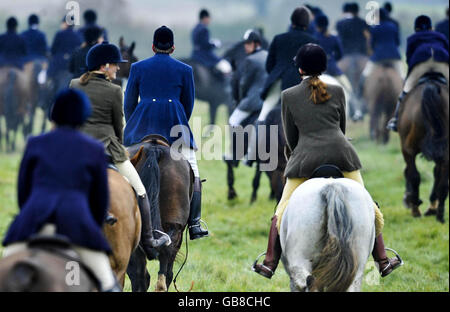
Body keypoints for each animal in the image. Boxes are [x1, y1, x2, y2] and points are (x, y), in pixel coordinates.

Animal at [400, 72, 448, 224]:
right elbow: (437, 175)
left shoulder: (407, 150)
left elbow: (412, 174)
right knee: (443, 184)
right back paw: (440, 216)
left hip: (408, 149)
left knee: (415, 175)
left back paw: (416, 208)